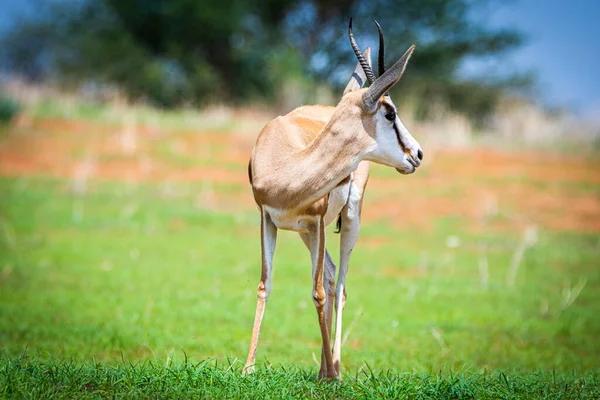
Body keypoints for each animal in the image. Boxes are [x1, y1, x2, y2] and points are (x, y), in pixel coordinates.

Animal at [243, 19, 422, 382]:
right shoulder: (268, 218)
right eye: (390, 113)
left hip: (347, 221)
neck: (285, 165)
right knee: (330, 274)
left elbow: (320, 292)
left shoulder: (318, 220)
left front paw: (332, 375)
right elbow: (265, 284)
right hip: (305, 232)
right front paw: (247, 368)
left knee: (338, 286)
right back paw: (325, 367)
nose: (418, 154)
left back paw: (334, 367)